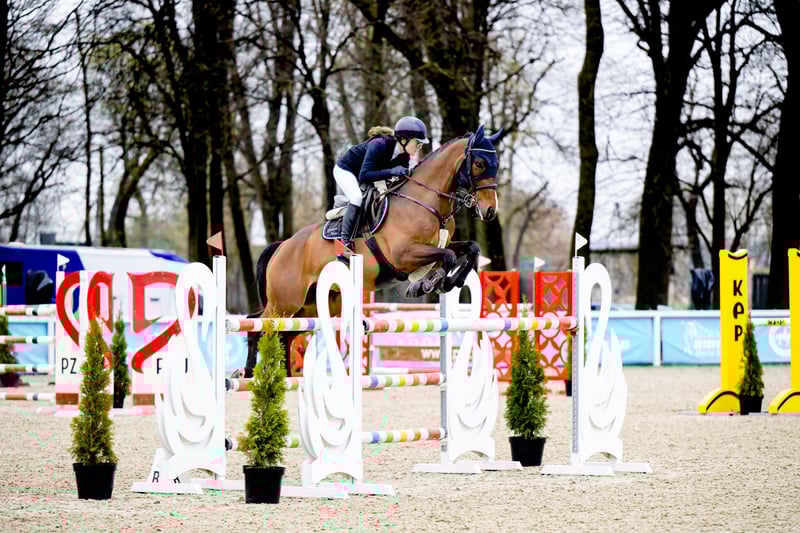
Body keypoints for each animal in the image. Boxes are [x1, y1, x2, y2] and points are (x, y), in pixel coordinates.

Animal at [248, 125, 504, 376]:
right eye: (479, 163)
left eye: (496, 163)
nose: (490, 210)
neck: (426, 201)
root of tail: (283, 245)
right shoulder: (404, 255)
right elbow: (448, 257)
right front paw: (429, 283)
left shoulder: (440, 245)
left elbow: (470, 248)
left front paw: (449, 282)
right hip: (284, 301)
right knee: (257, 324)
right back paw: (250, 374)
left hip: (312, 306)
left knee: (285, 334)